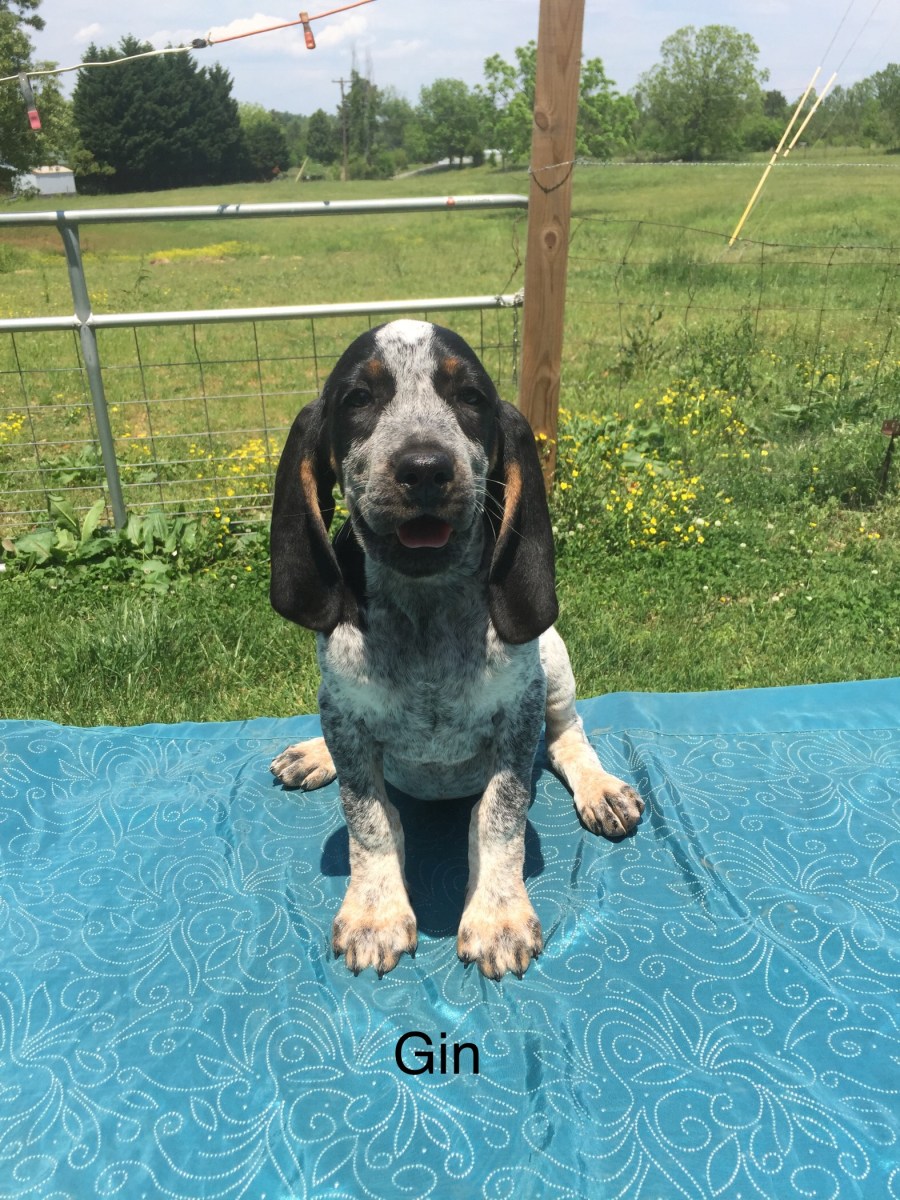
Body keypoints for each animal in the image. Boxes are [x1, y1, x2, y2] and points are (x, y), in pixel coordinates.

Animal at [269, 319, 644, 979]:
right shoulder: (345, 716)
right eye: (358, 399)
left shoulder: (519, 715)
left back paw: (600, 788)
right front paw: (376, 912)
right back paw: (314, 754)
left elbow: (499, 818)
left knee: (568, 736)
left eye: (470, 398)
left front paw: (496, 916)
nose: (424, 469)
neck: (426, 610)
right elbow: (370, 820)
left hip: (553, 661)